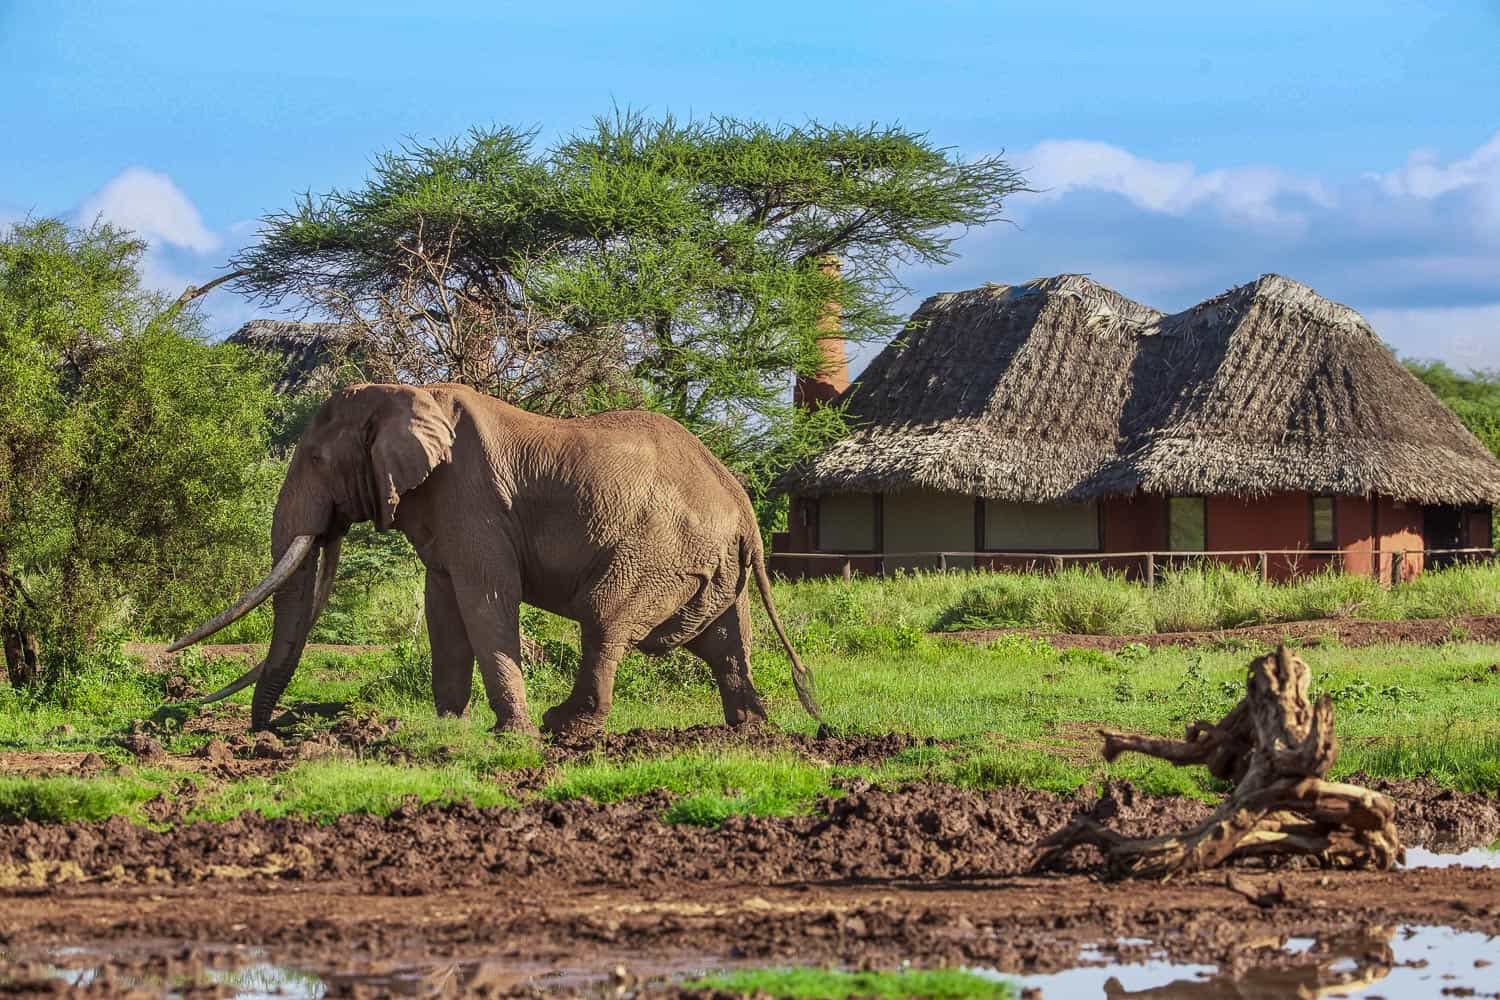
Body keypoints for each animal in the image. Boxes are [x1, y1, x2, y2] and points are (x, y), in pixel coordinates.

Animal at [169, 382, 821, 738]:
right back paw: (753, 730)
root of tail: (742, 502)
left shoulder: (471, 498)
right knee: (724, 640)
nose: (275, 729)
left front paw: (512, 735)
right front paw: (448, 731)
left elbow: (485, 599)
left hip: (658, 551)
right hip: (710, 565)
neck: (407, 391)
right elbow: (443, 607)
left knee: (605, 621)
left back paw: (564, 727)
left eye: (314, 458)